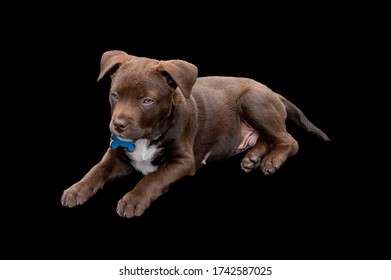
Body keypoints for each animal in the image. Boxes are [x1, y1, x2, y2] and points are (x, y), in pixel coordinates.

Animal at [61, 50, 330, 218]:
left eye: (147, 100)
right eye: (114, 95)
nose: (118, 125)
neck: (147, 136)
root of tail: (273, 91)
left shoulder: (183, 161)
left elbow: (152, 178)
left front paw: (133, 200)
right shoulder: (116, 154)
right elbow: (97, 170)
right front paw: (76, 189)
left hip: (253, 102)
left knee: (289, 140)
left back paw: (271, 161)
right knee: (266, 138)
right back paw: (252, 158)